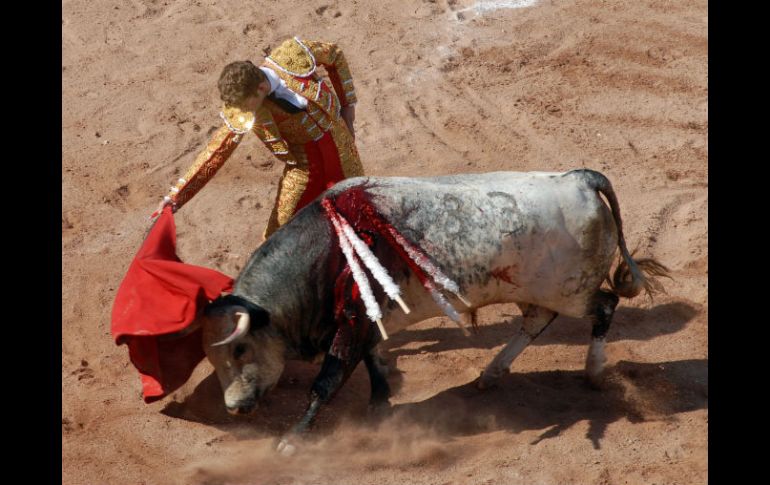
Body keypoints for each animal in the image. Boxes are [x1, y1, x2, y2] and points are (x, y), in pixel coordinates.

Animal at [196, 170, 664, 450]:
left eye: (240, 349)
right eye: (213, 358)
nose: (235, 407)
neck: (327, 252)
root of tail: (580, 178)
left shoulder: (350, 323)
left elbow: (327, 381)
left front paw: (293, 440)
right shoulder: (367, 322)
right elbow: (373, 360)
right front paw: (380, 404)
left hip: (572, 291)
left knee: (604, 305)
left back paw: (594, 372)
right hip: (538, 290)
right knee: (536, 320)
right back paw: (490, 375)